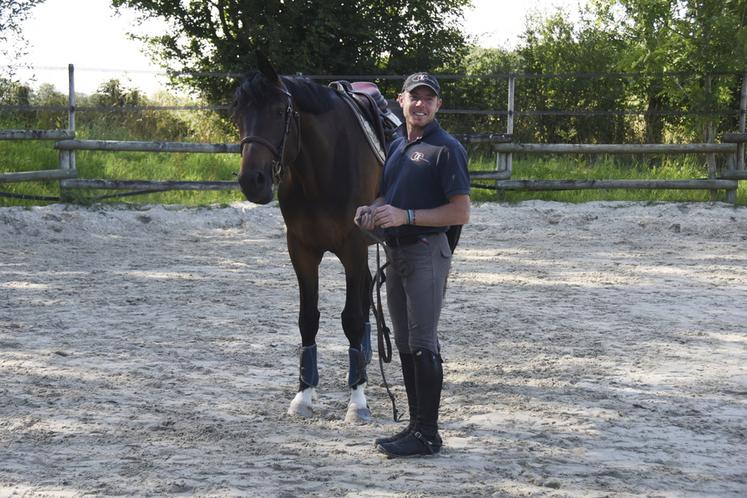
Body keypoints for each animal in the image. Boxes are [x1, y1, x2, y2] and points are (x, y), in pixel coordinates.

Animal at [232, 56, 389, 422]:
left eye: (279, 111)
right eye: (238, 113)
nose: (252, 181)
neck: (322, 169)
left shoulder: (353, 248)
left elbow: (351, 318)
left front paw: (357, 401)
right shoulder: (301, 250)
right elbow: (308, 320)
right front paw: (303, 394)